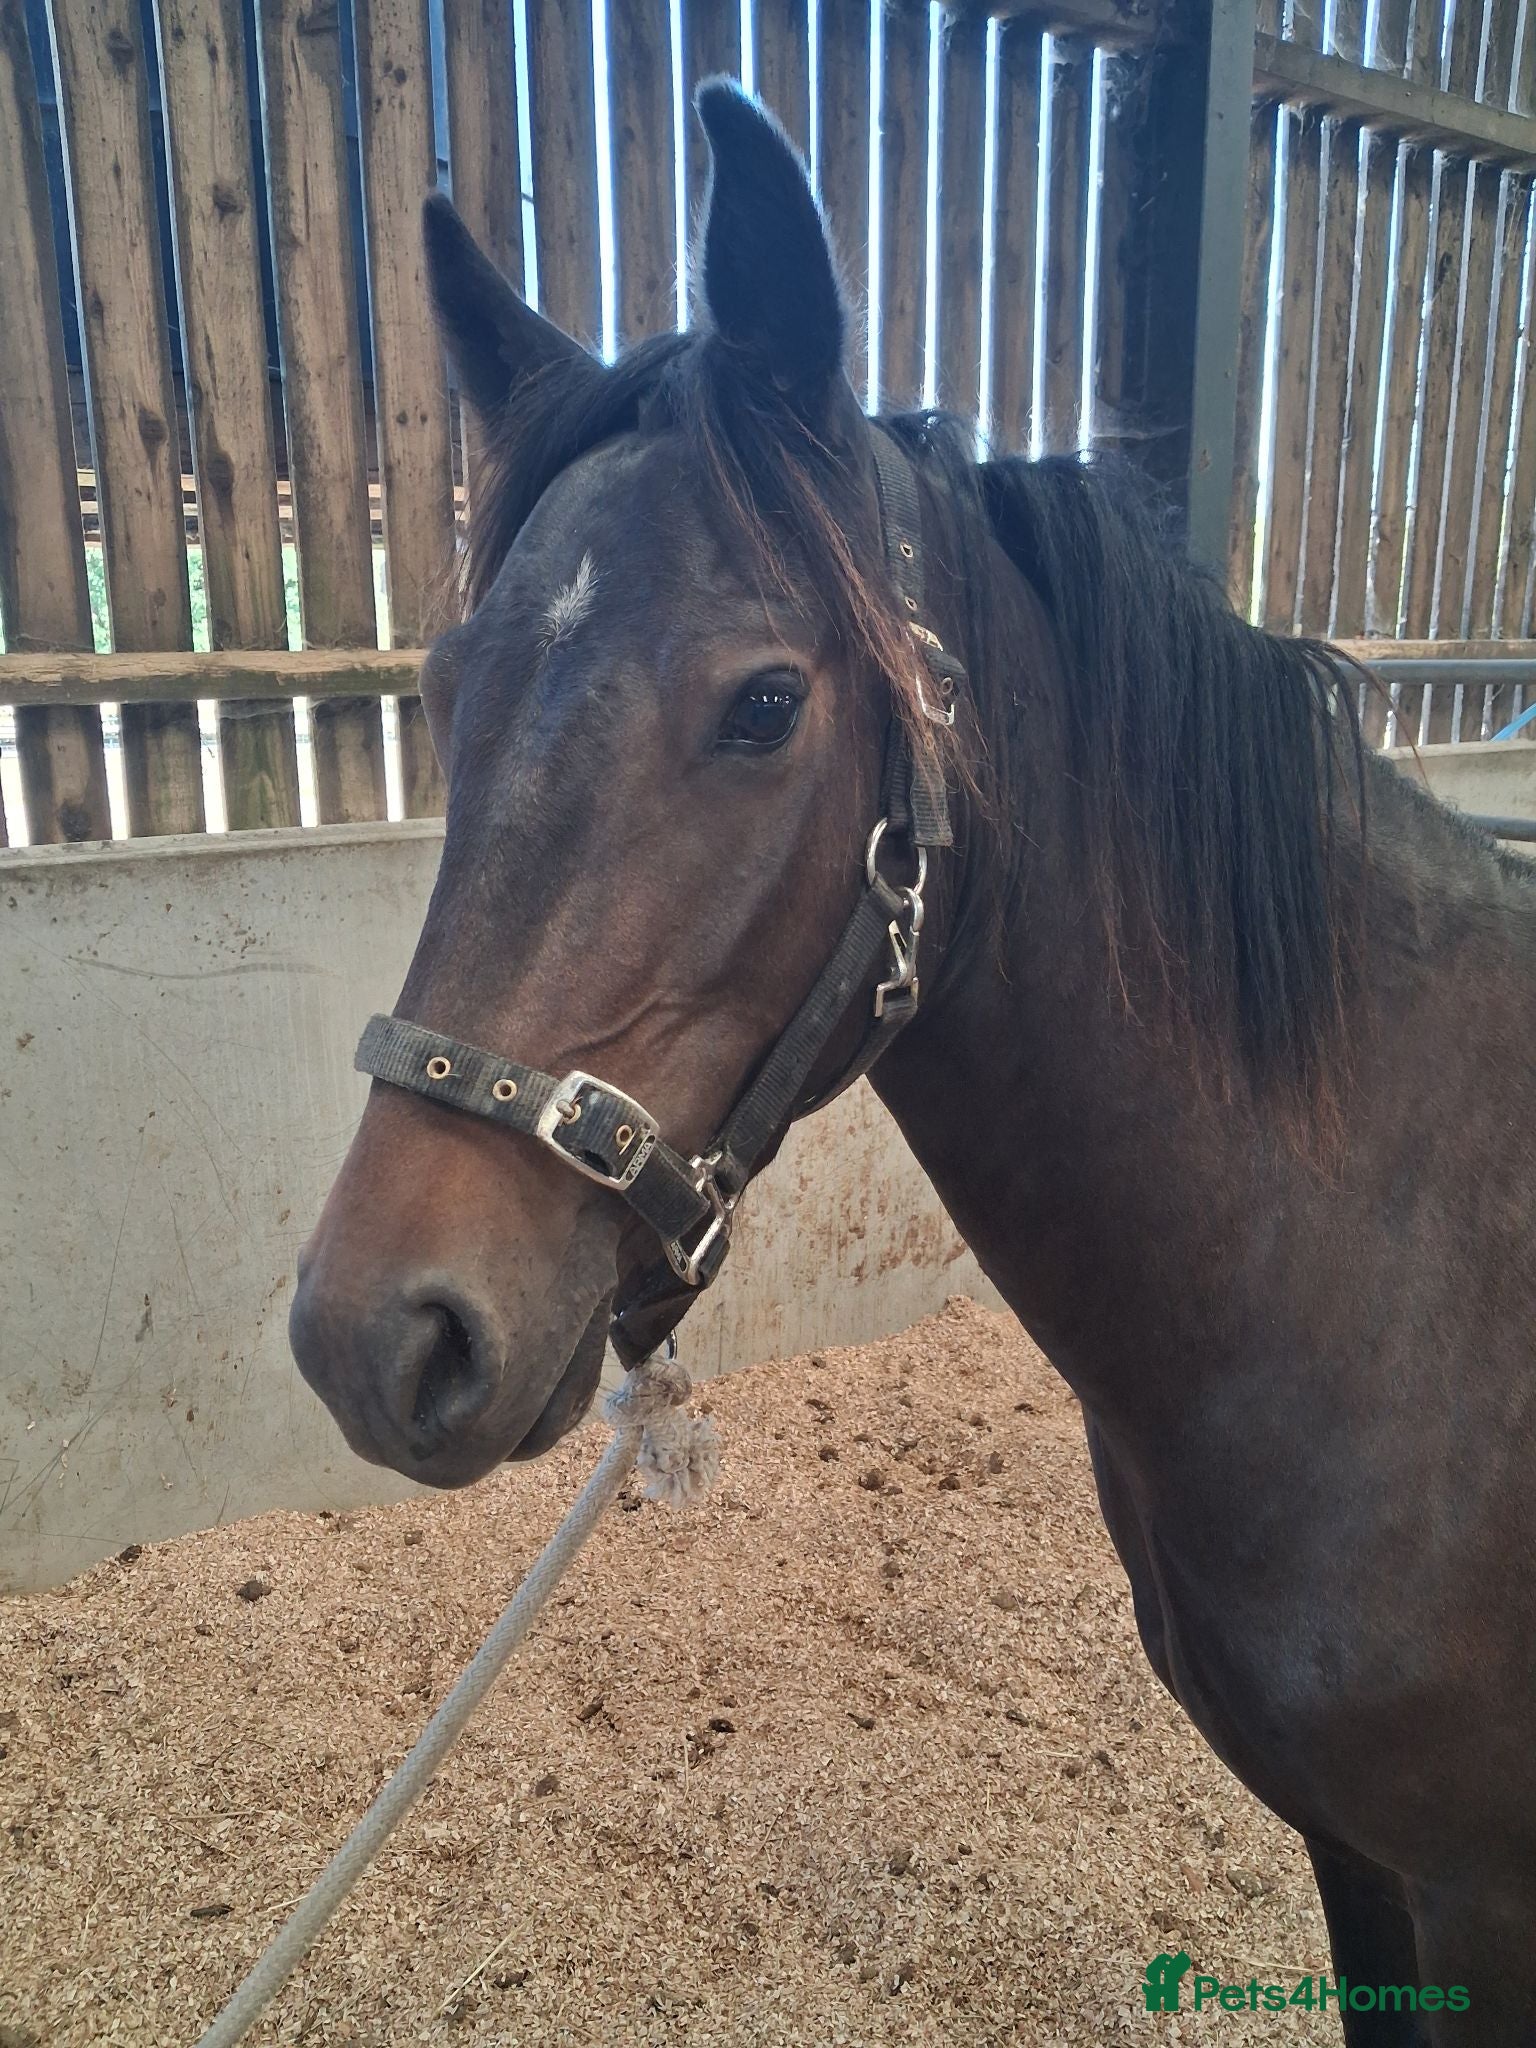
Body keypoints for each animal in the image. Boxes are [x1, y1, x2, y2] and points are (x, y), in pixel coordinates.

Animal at [289, 83, 1536, 2042]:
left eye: (765, 705)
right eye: (442, 682)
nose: (377, 1334)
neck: (1392, 1271)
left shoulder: (1481, 1891)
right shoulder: (1356, 1860)